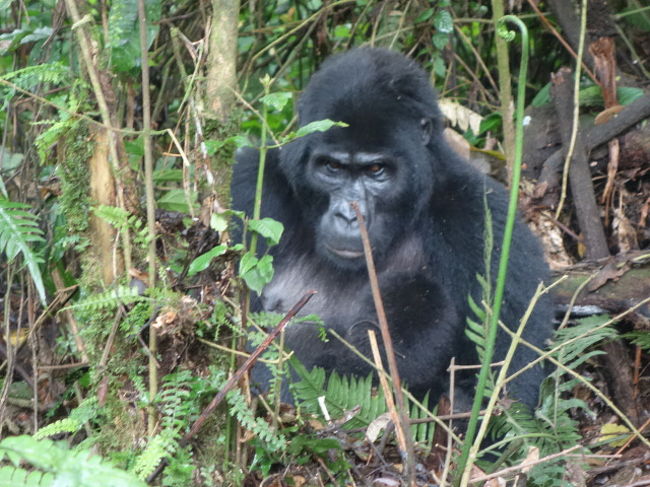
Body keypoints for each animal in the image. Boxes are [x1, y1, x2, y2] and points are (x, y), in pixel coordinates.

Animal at [230, 46, 548, 412]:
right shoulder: (251, 183)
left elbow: (499, 395)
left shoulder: (486, 223)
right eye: (332, 167)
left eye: (376, 170)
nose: (348, 216)